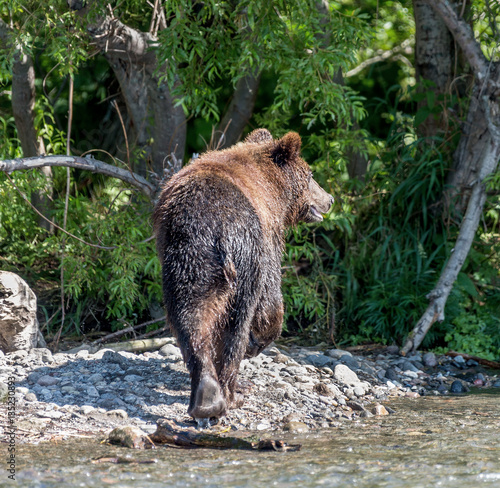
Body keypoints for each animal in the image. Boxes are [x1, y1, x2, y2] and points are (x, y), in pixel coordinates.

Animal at [152, 127, 332, 426]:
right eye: (310, 175)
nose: (329, 199)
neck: (274, 190)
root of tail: (219, 228)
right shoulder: (269, 236)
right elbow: (271, 295)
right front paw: (259, 340)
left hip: (188, 263)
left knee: (190, 318)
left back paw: (207, 397)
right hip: (244, 260)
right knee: (236, 322)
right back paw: (233, 392)